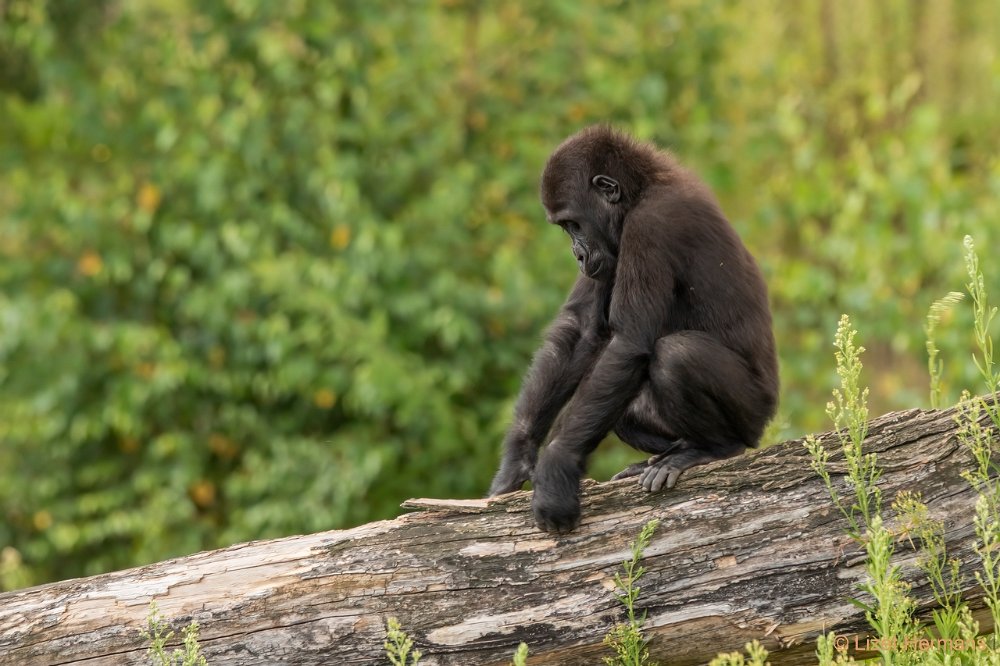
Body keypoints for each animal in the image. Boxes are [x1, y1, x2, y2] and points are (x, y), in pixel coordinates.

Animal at [488, 126, 776, 536]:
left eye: (573, 224)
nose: (577, 255)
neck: (641, 189)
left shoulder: (650, 226)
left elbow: (629, 341)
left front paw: (557, 469)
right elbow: (582, 331)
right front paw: (518, 456)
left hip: (755, 415)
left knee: (677, 356)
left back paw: (714, 448)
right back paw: (672, 451)